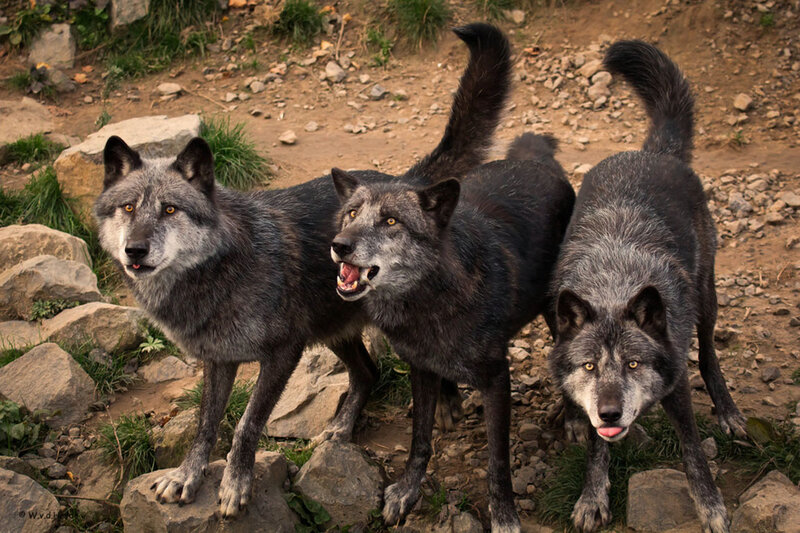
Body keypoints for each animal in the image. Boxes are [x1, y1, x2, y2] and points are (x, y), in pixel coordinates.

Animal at [93, 22, 512, 518]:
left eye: (170, 209)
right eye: (128, 207)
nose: (135, 251)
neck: (219, 272)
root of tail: (407, 184)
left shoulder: (282, 352)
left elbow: (245, 424)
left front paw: (235, 486)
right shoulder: (219, 360)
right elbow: (205, 424)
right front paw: (186, 476)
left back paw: (443, 403)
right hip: (332, 329)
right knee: (367, 373)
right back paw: (343, 427)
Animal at [329, 131, 575, 532]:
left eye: (392, 221)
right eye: (352, 213)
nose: (339, 245)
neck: (428, 301)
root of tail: (535, 161)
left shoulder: (497, 378)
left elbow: (498, 462)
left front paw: (504, 516)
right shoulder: (418, 365)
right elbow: (419, 439)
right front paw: (406, 491)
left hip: (559, 310)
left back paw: (571, 417)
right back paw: (448, 400)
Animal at [549, 40, 746, 533]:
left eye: (634, 364)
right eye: (589, 367)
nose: (610, 412)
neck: (613, 286)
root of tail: (655, 153)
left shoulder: (675, 385)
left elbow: (693, 450)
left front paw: (710, 505)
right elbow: (597, 447)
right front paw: (592, 496)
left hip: (706, 298)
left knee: (709, 353)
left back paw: (728, 410)